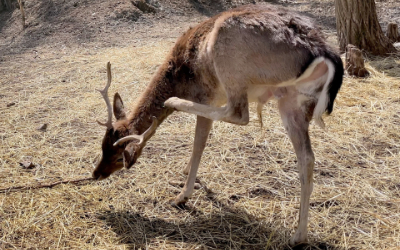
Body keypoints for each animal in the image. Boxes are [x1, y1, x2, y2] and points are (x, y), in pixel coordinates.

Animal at [92, 4, 342, 246]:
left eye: (119, 158)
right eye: (102, 146)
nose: (96, 174)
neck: (178, 74)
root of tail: (324, 50)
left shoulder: (207, 95)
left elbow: (199, 143)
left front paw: (182, 195)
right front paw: (185, 171)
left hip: (231, 61)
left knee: (239, 114)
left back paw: (173, 101)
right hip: (293, 99)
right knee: (307, 157)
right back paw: (298, 236)